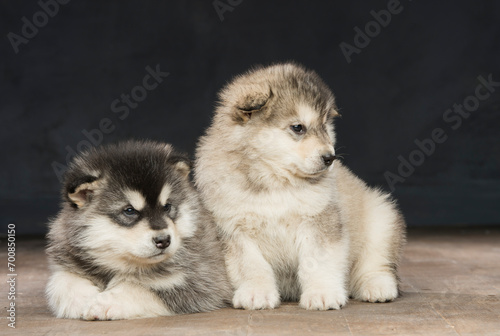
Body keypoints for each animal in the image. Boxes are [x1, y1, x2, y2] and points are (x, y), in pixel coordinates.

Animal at [45, 140, 232, 320]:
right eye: (129, 211)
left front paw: (104, 303)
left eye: (167, 206)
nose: (163, 240)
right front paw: (83, 299)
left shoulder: (202, 282)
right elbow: (62, 280)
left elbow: (140, 288)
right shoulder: (66, 263)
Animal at [195, 62, 406, 310]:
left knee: (376, 262)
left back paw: (377, 286)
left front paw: (322, 293)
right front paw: (256, 293)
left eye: (325, 126)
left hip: (380, 217)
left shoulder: (320, 222)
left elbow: (318, 262)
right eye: (298, 127)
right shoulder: (234, 231)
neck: (275, 181)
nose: (330, 158)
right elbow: (251, 266)